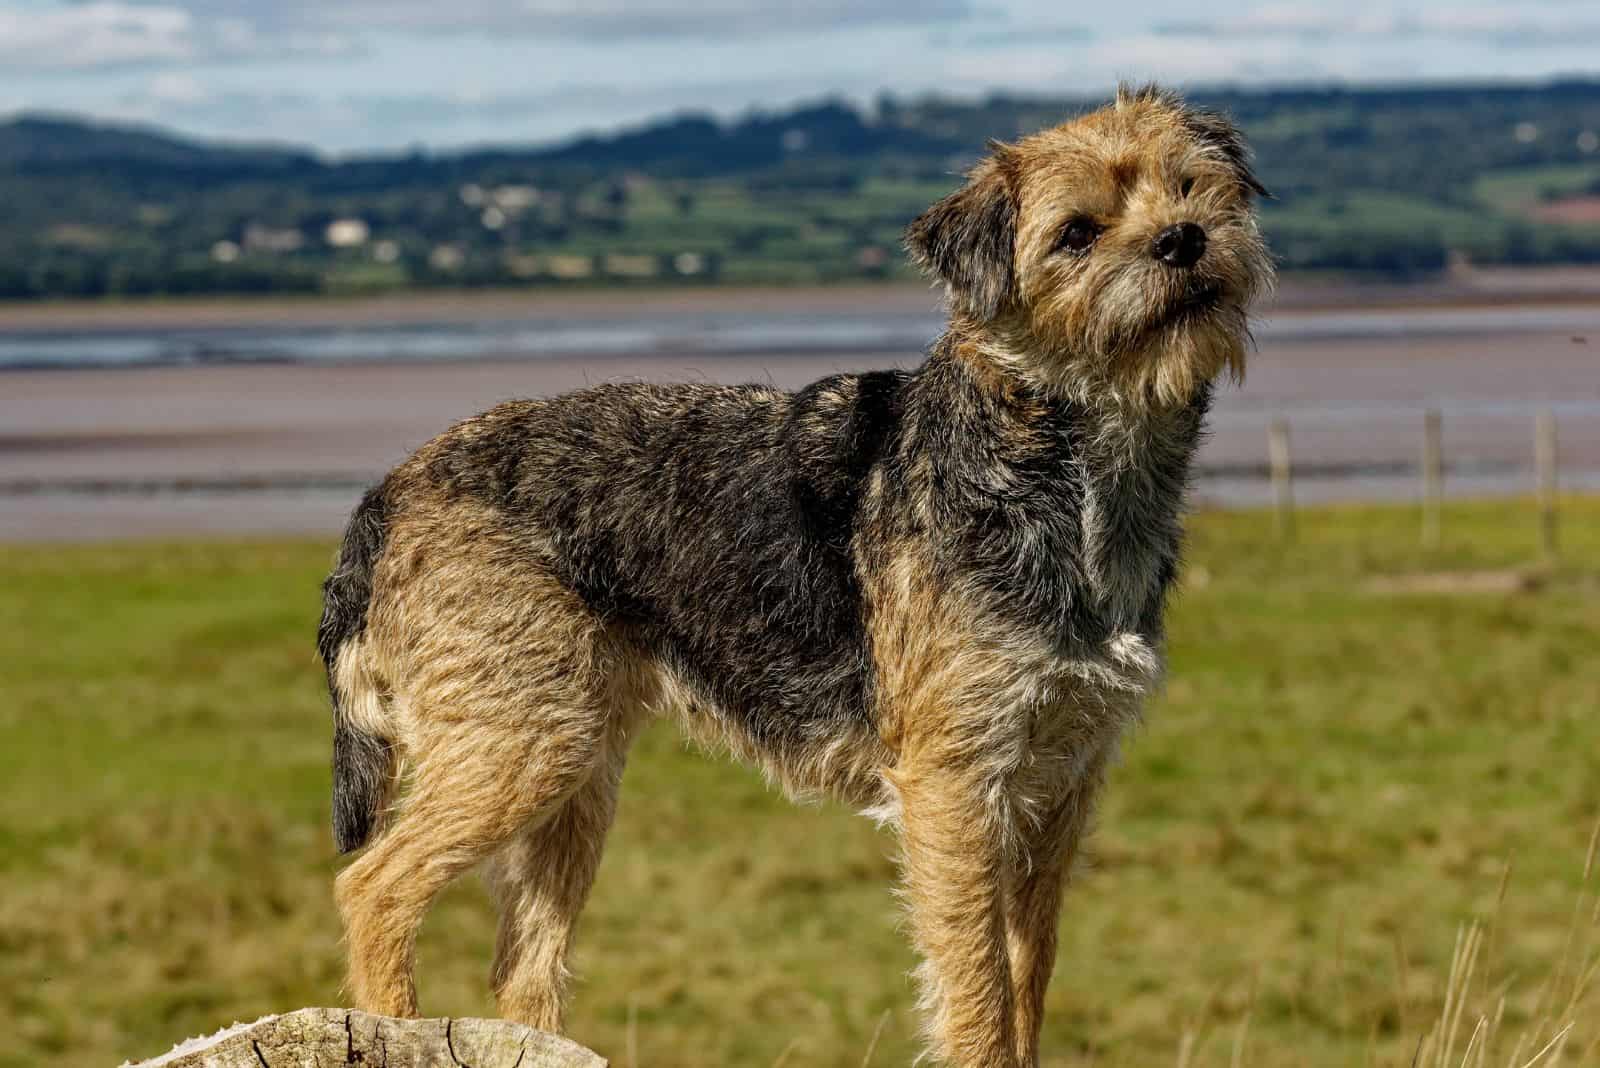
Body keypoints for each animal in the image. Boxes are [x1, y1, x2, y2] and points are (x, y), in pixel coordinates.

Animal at [321, 85, 1273, 1068]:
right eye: (1077, 233)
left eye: (1189, 186)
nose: (1183, 240)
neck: (1067, 457)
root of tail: (388, 491)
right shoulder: (956, 781)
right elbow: (977, 987)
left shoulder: (1061, 784)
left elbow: (1025, 974)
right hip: (522, 744)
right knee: (374, 887)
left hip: (575, 780)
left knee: (522, 966)